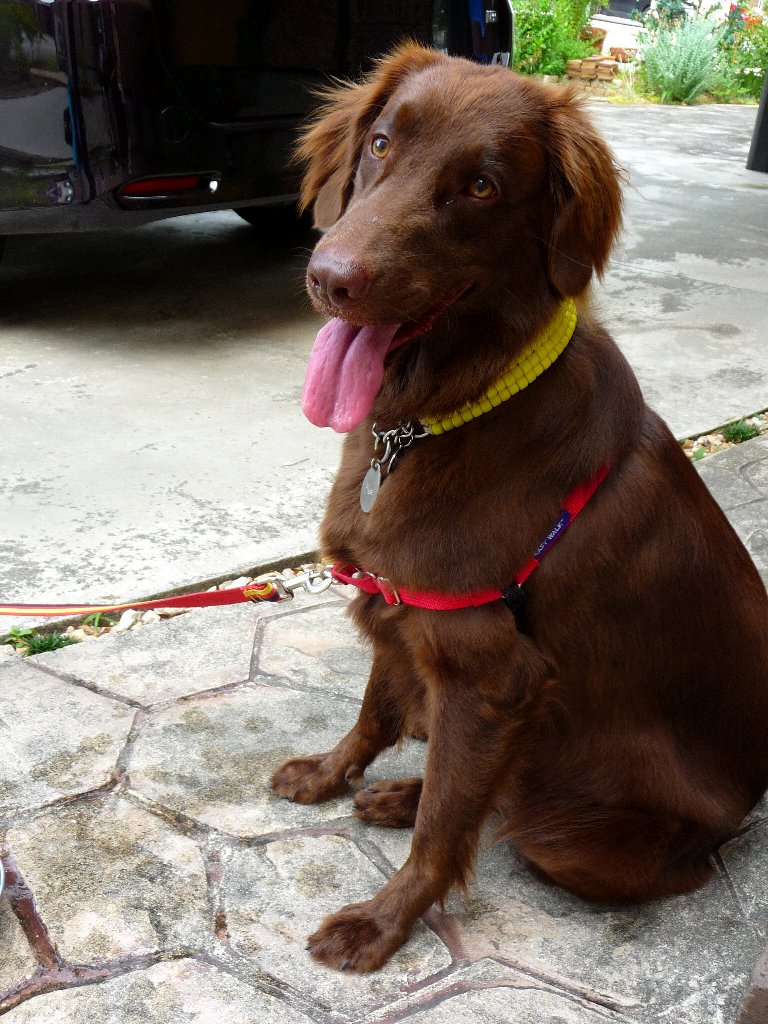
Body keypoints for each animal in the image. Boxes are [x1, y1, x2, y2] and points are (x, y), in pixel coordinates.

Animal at [271, 43, 768, 972]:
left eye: (482, 187)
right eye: (381, 143)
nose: (329, 279)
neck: (440, 415)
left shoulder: (485, 668)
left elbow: (443, 828)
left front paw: (383, 922)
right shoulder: (402, 605)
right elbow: (375, 710)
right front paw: (330, 774)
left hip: (576, 840)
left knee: (514, 812)